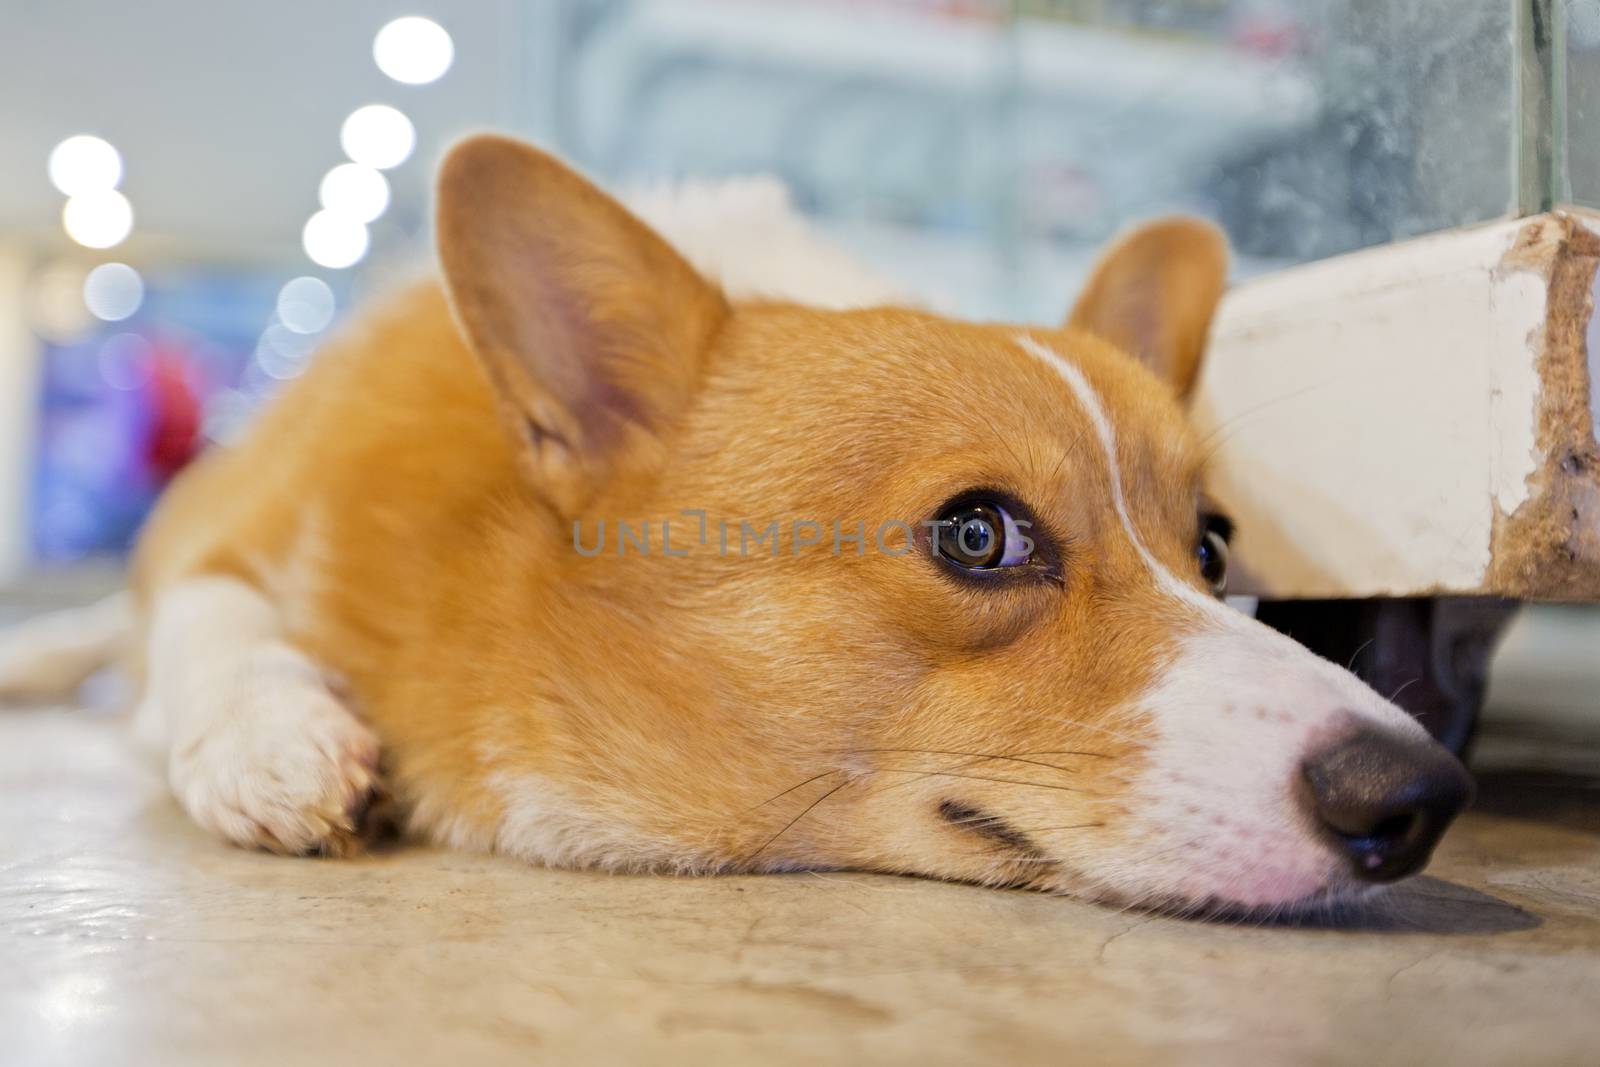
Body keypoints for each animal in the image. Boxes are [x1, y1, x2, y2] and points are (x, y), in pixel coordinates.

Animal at [3, 135, 1472, 921]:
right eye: (978, 535)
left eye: (1212, 549)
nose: (1417, 796)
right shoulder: (214, 521)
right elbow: (204, 614)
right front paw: (271, 740)